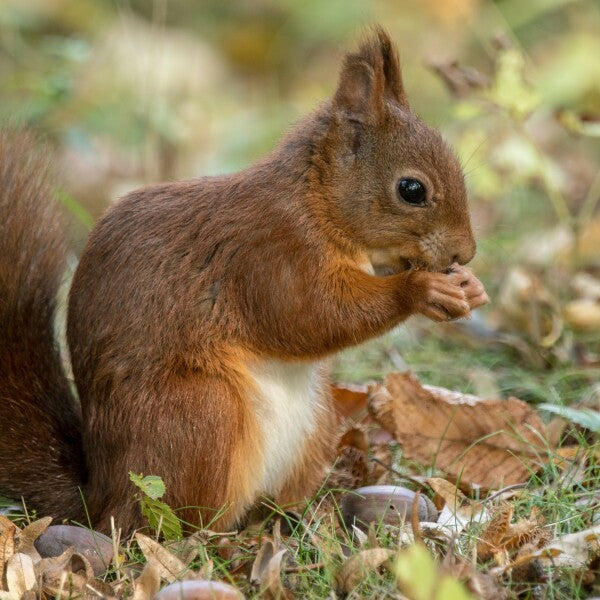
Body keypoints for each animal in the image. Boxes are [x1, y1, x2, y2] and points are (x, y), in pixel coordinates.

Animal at [0, 29, 488, 536]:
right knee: (169, 522)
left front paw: (470, 287)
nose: (464, 253)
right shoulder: (268, 255)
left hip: (315, 420)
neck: (314, 202)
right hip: (200, 414)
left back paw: (300, 515)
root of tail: (100, 498)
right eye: (412, 190)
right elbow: (310, 316)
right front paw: (421, 290)